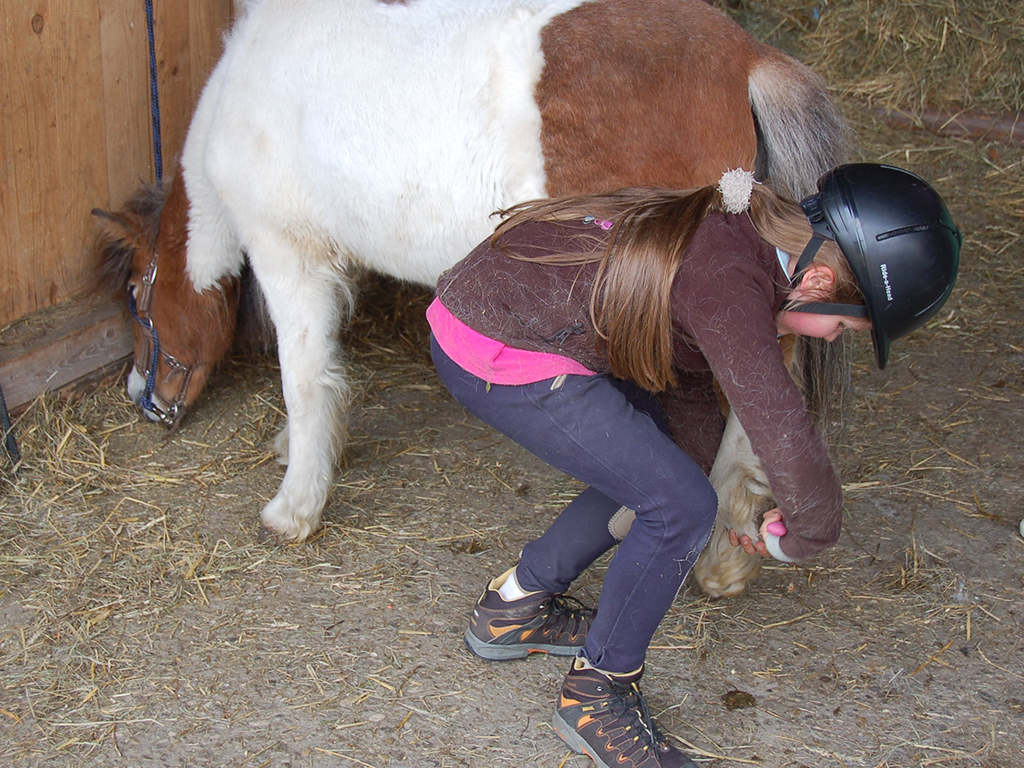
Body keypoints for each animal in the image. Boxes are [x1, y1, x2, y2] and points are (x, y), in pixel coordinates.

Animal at [96, 0, 847, 602]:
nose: (141, 394)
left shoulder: (289, 254)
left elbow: (306, 377)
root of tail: (746, 56)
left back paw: (719, 554)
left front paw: (296, 505)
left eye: (135, 294)